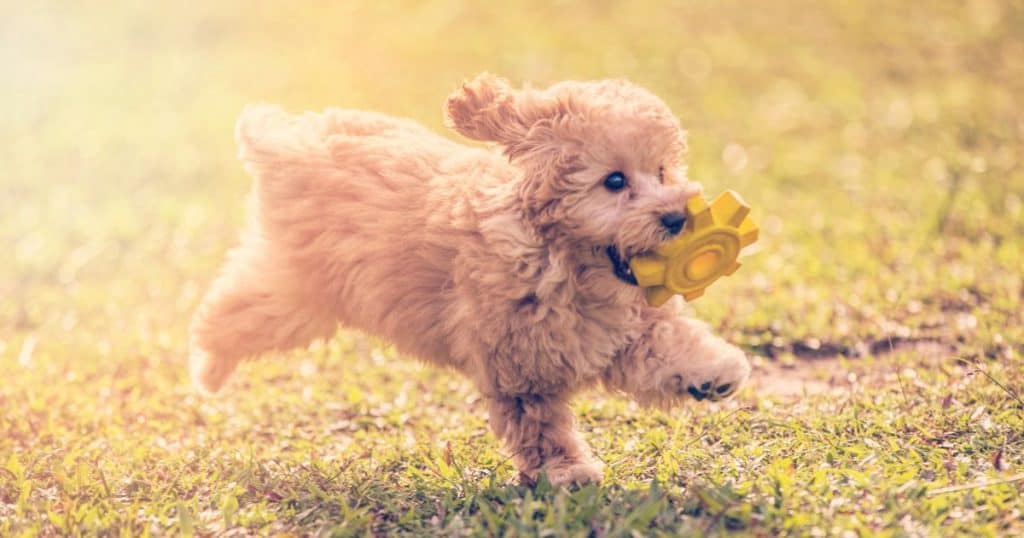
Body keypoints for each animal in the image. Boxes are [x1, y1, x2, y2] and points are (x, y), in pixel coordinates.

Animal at [190, 72, 753, 485]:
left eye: (661, 172)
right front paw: (567, 473)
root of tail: (287, 139)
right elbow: (542, 426)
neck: (563, 262)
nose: (678, 218)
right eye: (614, 181)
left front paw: (715, 371)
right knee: (231, 310)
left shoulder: (621, 326)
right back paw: (206, 367)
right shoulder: (520, 365)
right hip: (299, 292)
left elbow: (665, 344)